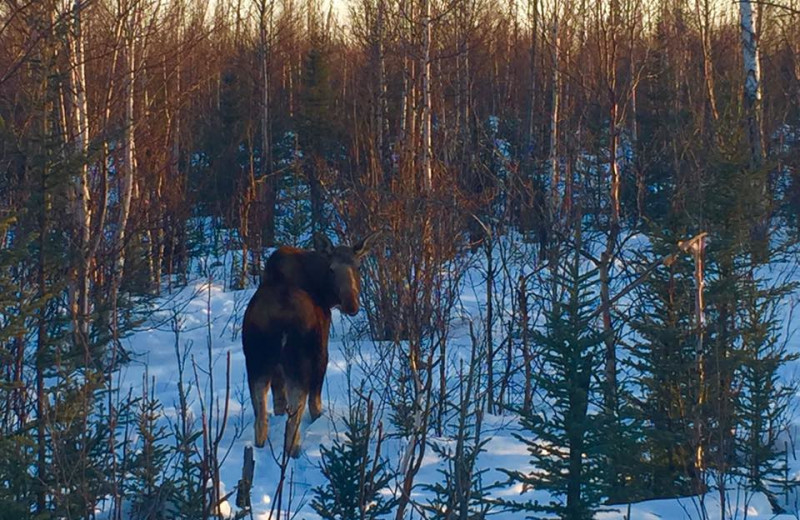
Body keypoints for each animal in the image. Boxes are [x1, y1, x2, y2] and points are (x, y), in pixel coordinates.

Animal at [241, 234, 378, 458]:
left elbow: (279, 402)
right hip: (299, 361)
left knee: (260, 415)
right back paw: (294, 450)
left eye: (358, 266)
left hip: (256, 360)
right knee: (295, 414)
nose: (351, 305)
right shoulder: (322, 352)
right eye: (331, 269)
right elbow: (315, 401)